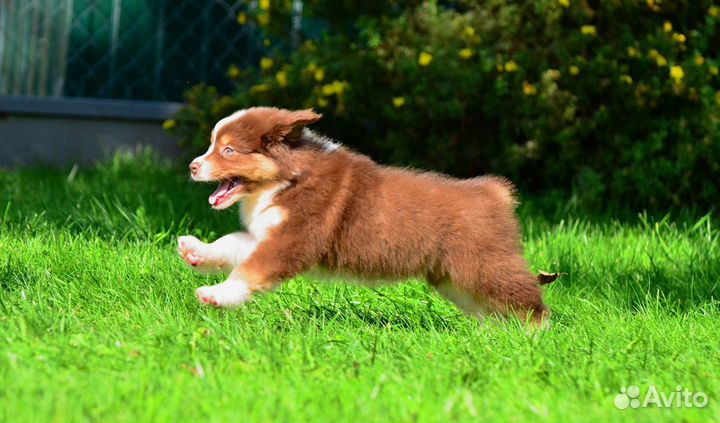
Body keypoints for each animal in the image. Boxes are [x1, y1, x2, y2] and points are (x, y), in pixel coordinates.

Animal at [179, 107, 552, 326]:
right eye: (213, 146)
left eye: (228, 150)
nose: (192, 166)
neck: (287, 179)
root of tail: (493, 192)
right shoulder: (270, 233)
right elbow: (233, 244)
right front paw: (196, 251)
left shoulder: (294, 238)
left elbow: (251, 268)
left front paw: (216, 294)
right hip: (453, 278)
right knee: (490, 309)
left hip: (484, 265)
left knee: (527, 299)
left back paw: (533, 338)